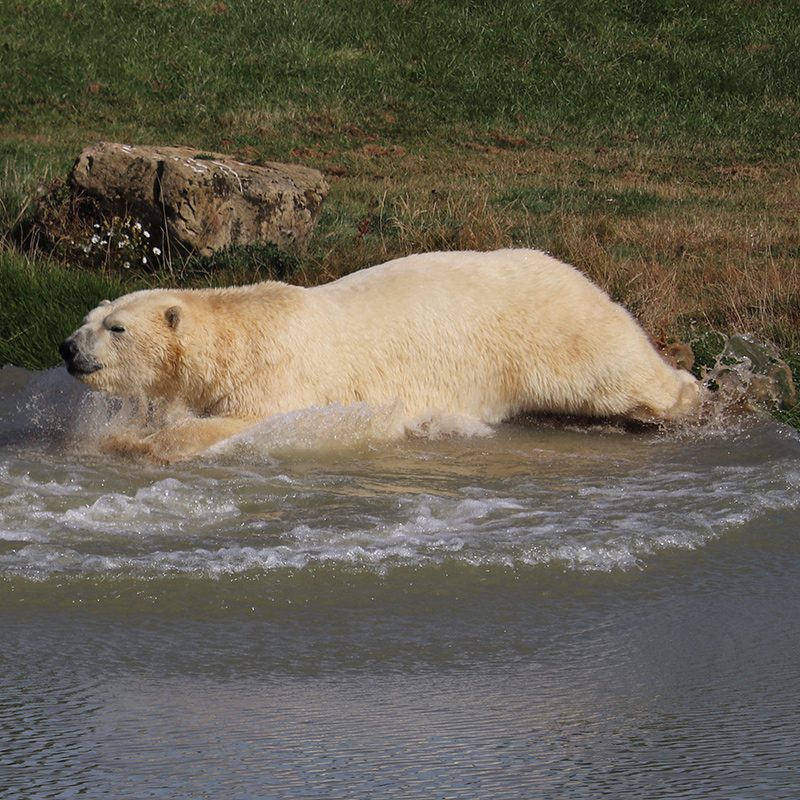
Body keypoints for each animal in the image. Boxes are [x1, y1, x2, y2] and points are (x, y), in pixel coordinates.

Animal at [61, 250, 700, 462]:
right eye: (90, 316)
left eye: (116, 327)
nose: (67, 348)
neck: (243, 328)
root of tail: (575, 272)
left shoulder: (280, 378)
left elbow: (242, 422)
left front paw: (150, 444)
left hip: (557, 330)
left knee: (616, 371)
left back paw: (687, 396)